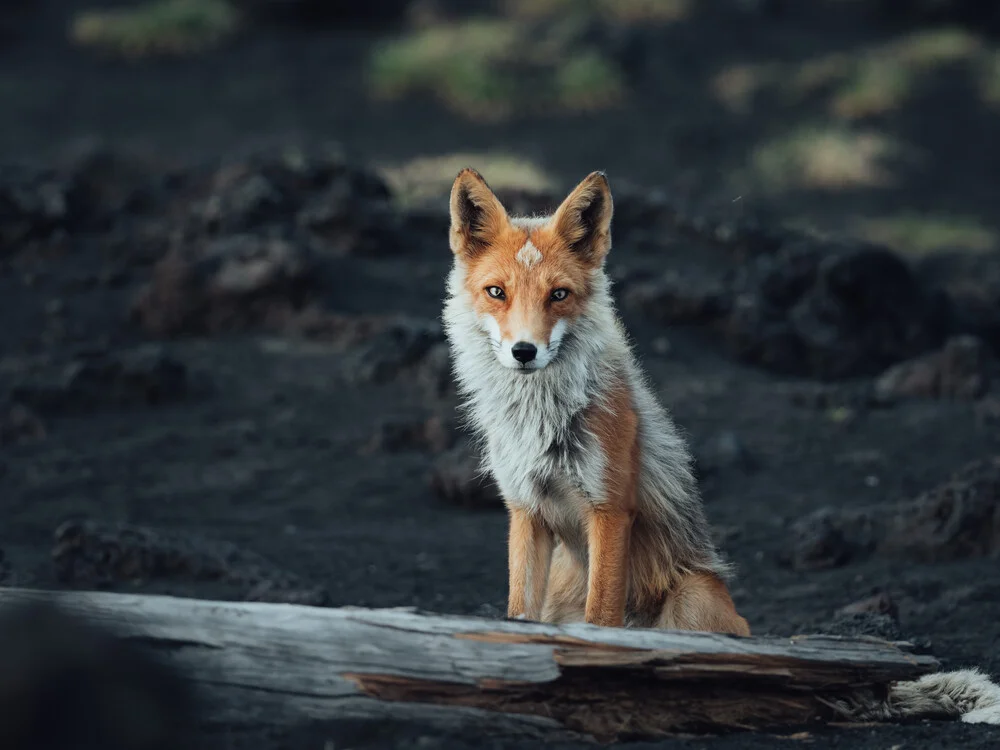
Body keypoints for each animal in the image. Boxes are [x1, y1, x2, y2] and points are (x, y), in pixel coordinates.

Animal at [442, 167, 748, 636]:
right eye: (496, 292)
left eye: (558, 294)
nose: (524, 351)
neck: (540, 419)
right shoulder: (526, 508)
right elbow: (519, 610)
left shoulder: (609, 508)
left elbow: (601, 616)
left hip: (692, 596)